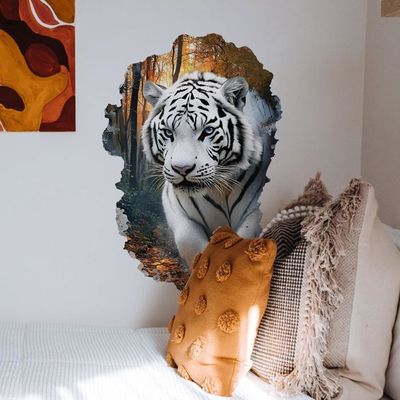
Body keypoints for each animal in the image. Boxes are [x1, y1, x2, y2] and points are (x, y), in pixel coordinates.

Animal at [142, 71, 269, 267]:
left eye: (207, 131)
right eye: (169, 133)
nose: (182, 169)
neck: (219, 190)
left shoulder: (255, 210)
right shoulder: (174, 206)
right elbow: (189, 241)